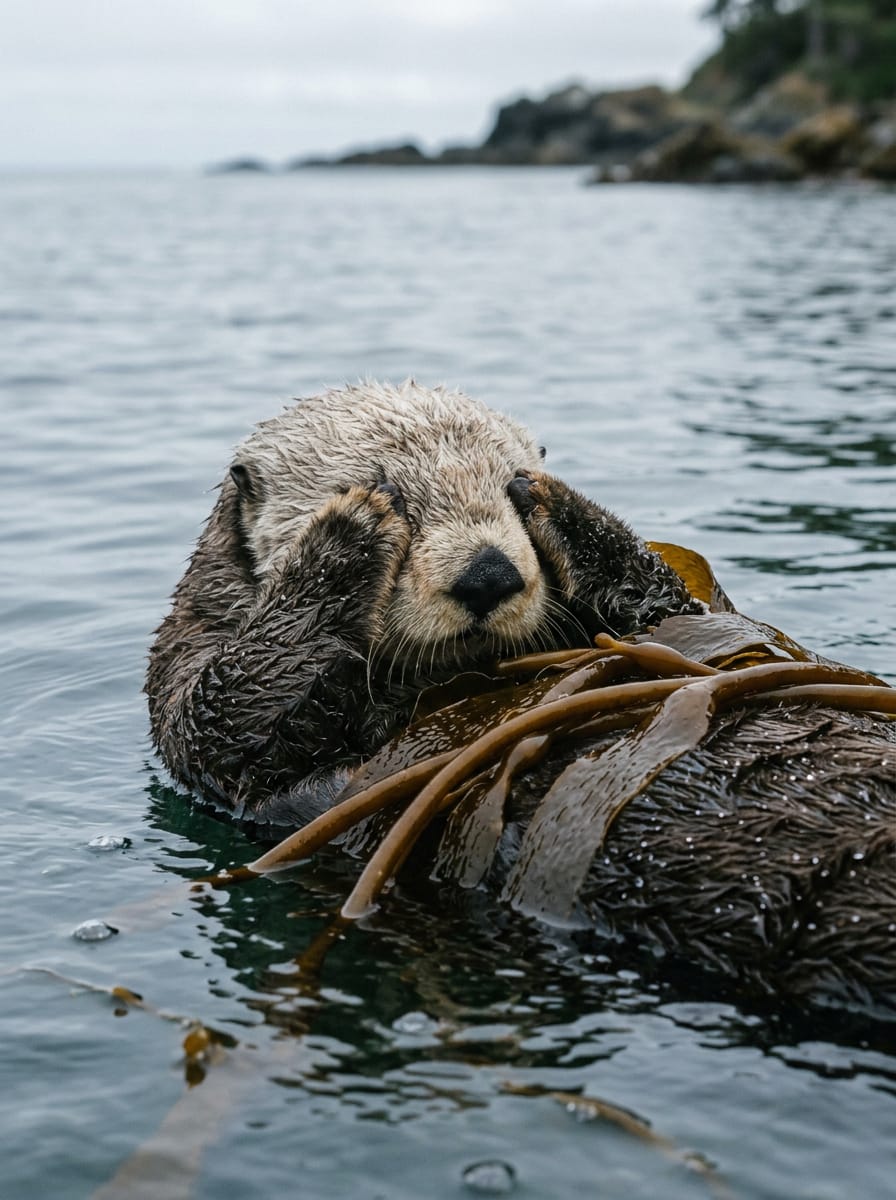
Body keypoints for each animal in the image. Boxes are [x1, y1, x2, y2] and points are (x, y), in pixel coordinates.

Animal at [148, 381, 896, 1011]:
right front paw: (350, 531)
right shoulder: (195, 680)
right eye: (404, 500)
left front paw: (560, 506)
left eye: (504, 493)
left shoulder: (681, 626)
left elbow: (675, 615)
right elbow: (225, 712)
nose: (489, 572)